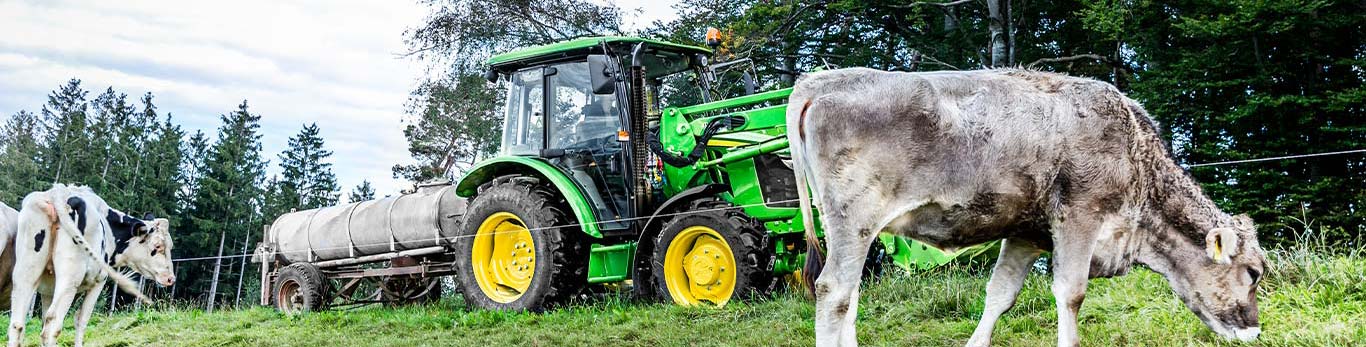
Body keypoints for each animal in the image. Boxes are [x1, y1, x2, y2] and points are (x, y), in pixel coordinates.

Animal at [792, 68, 1267, 347]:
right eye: (1253, 273)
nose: (1254, 329)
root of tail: (817, 82)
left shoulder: (1026, 233)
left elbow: (999, 295)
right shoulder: (1080, 216)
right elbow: (1071, 293)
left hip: (851, 228)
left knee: (850, 294)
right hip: (854, 218)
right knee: (834, 290)